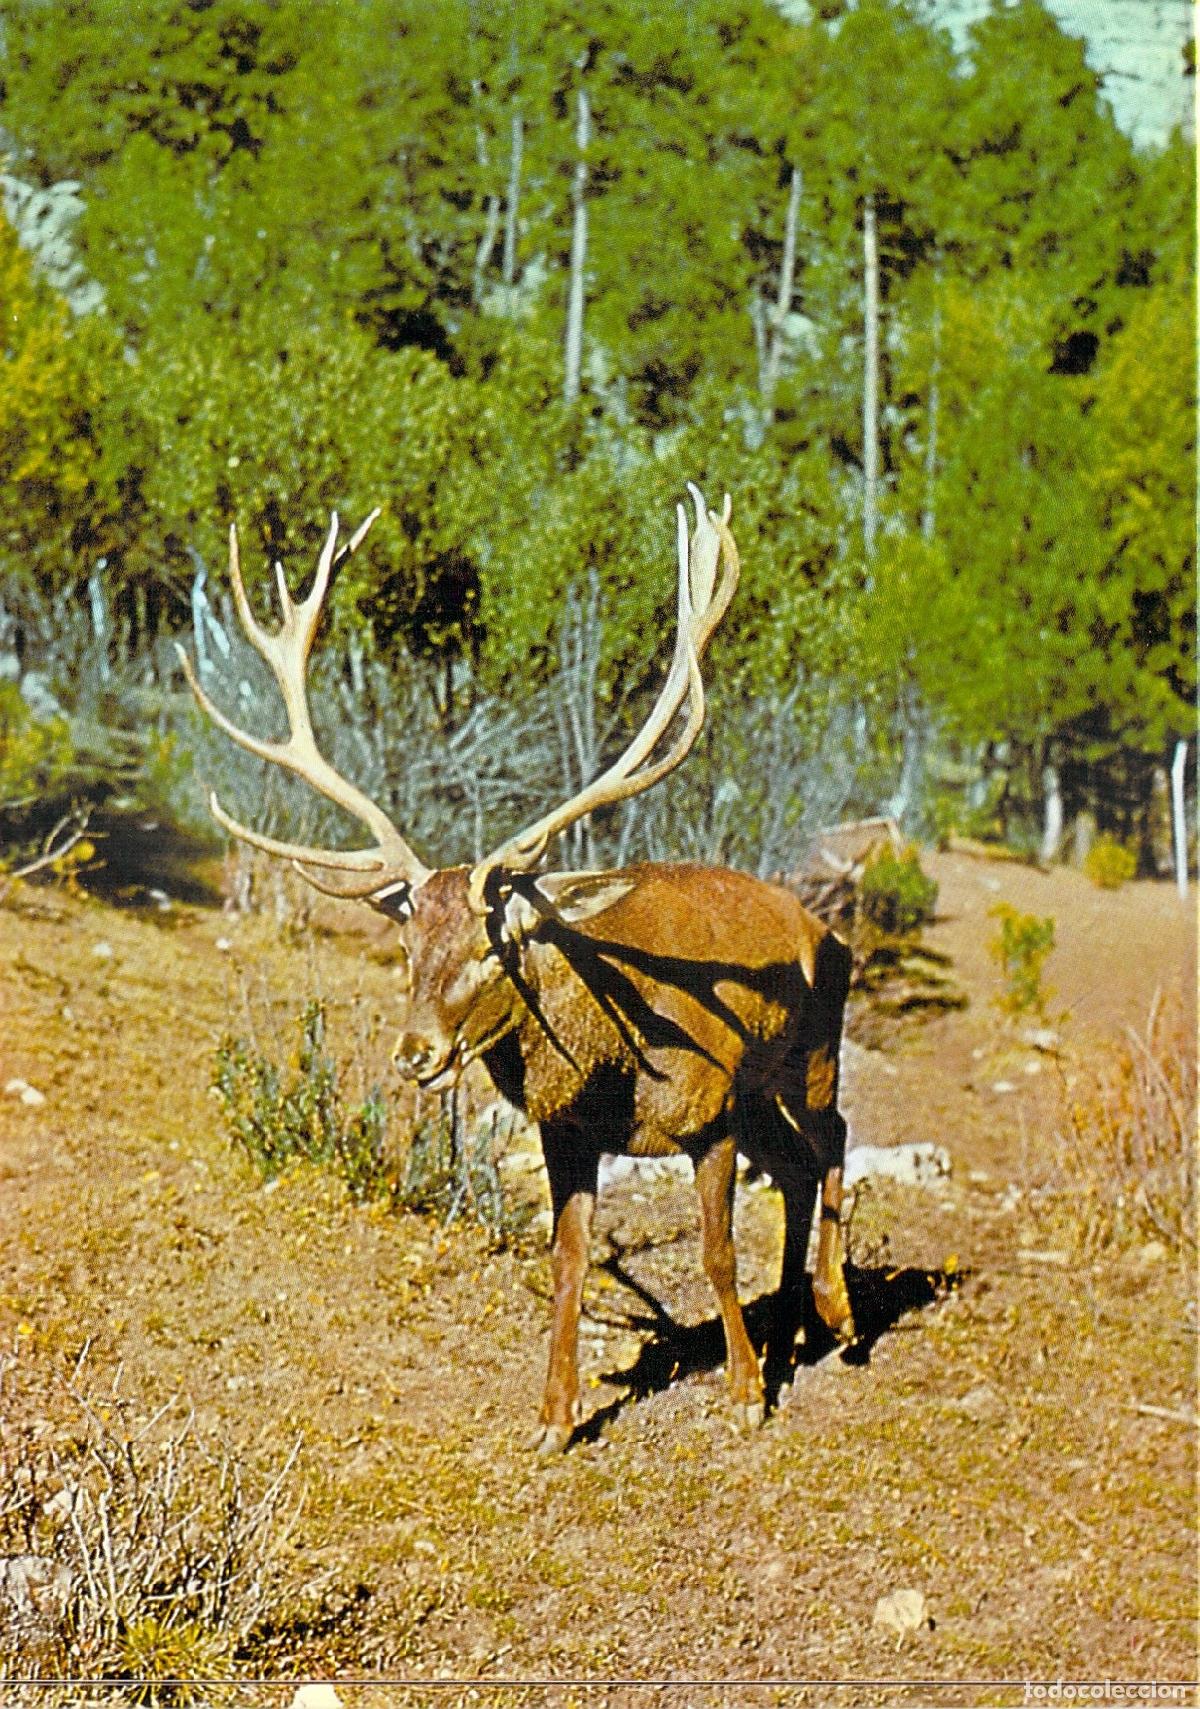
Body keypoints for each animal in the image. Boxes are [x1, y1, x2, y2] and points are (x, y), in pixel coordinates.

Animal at [178, 487, 858, 1452]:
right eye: (407, 946)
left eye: (493, 944)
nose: (415, 1052)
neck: (618, 1070)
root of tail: (822, 925)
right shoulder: (567, 1133)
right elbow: (569, 1261)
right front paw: (555, 1417)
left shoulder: (711, 1109)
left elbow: (718, 1252)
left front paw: (742, 1394)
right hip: (765, 1091)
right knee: (799, 1167)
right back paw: (794, 1327)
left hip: (809, 1053)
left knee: (833, 1138)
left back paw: (835, 1315)